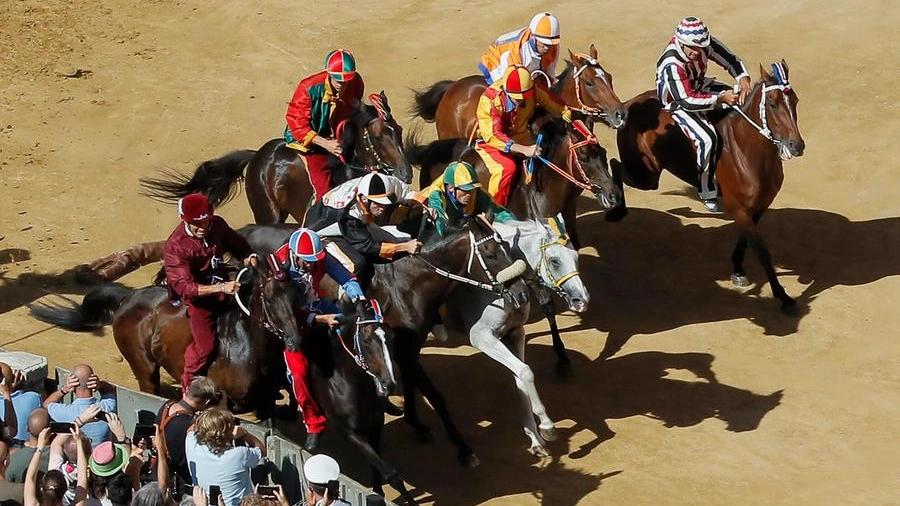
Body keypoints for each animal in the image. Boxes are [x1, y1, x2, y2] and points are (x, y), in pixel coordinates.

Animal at [28, 258, 302, 418]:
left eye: (296, 294)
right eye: (269, 298)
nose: (294, 339)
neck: (244, 345)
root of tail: (128, 298)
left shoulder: (265, 404)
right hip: (144, 368)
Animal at [608, 60, 804, 310]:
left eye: (795, 101)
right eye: (772, 103)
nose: (797, 146)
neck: (747, 150)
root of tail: (628, 104)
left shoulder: (759, 206)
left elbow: (746, 241)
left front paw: (738, 270)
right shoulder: (739, 208)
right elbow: (762, 252)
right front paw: (783, 296)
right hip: (645, 175)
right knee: (615, 164)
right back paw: (617, 208)